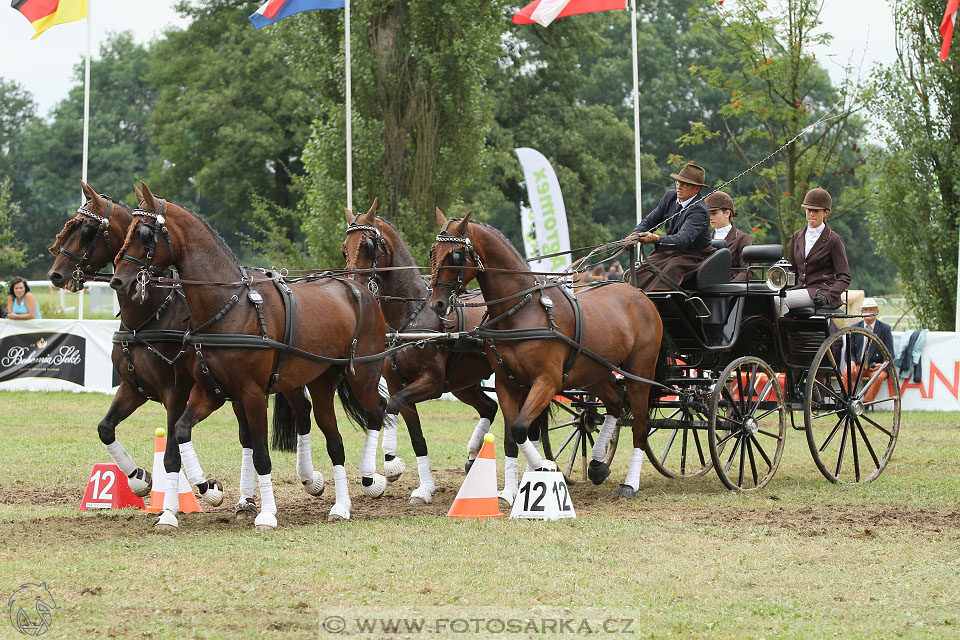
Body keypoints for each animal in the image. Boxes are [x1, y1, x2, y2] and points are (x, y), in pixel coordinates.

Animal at [48, 182, 320, 528]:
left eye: (86, 230)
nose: (56, 275)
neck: (151, 315)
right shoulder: (133, 388)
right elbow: (106, 428)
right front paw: (139, 479)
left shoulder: (175, 393)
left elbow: (171, 454)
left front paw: (188, 499)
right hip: (238, 392)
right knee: (247, 436)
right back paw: (245, 501)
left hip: (285, 380)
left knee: (302, 413)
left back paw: (310, 479)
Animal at [109, 182, 386, 528]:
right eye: (127, 230)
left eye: (146, 233)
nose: (118, 279)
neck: (230, 306)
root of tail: (358, 288)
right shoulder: (210, 392)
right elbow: (181, 432)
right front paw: (194, 498)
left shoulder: (250, 394)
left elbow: (262, 455)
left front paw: (265, 513)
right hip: (321, 382)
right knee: (333, 440)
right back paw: (341, 506)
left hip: (363, 375)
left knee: (378, 412)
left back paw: (371, 478)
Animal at [340, 205, 516, 504]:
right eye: (345, 248)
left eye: (368, 245)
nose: (354, 284)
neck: (410, 317)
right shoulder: (399, 384)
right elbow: (417, 437)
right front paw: (424, 488)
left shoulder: (430, 384)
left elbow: (391, 405)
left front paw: (391, 463)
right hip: (463, 384)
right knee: (489, 407)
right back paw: (473, 456)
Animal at [430, 212, 664, 498]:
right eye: (433, 251)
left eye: (456, 255)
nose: (437, 303)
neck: (520, 312)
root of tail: (639, 294)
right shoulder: (507, 384)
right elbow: (511, 437)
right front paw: (510, 491)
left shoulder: (546, 382)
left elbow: (520, 428)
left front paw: (543, 467)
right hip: (594, 373)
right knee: (616, 403)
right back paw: (598, 465)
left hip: (640, 373)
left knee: (640, 426)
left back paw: (630, 484)